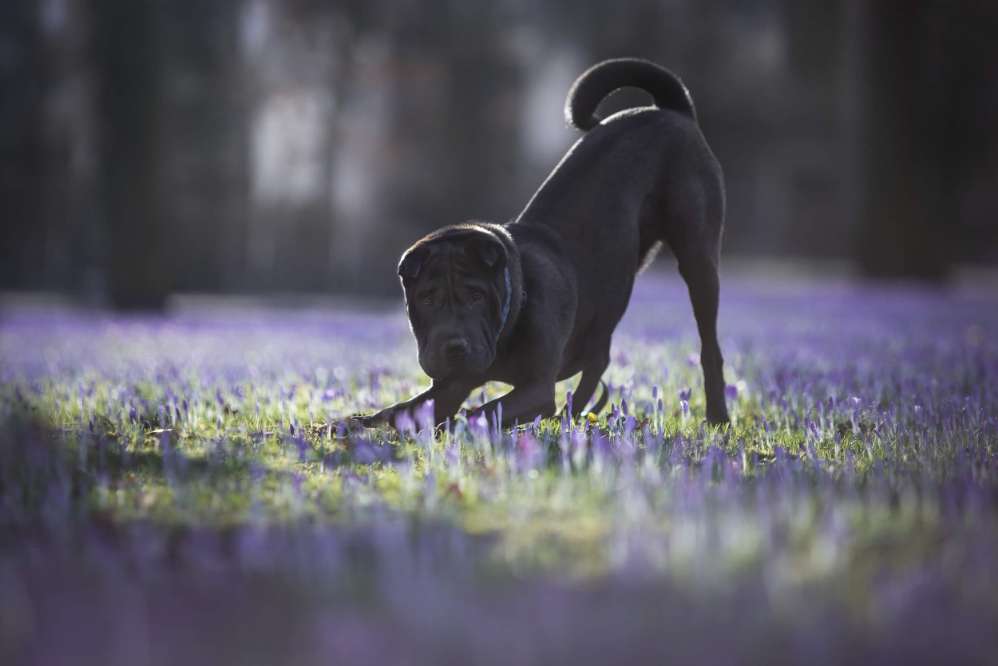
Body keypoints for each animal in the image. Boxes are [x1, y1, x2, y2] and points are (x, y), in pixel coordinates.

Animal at [356, 58, 732, 430]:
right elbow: (406, 409)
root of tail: (672, 109)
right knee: (598, 358)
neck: (513, 306)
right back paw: (573, 415)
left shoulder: (536, 389)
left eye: (476, 295)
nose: (454, 347)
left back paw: (717, 416)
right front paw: (360, 422)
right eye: (427, 298)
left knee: (708, 346)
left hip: (698, 257)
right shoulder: (452, 384)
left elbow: (482, 411)